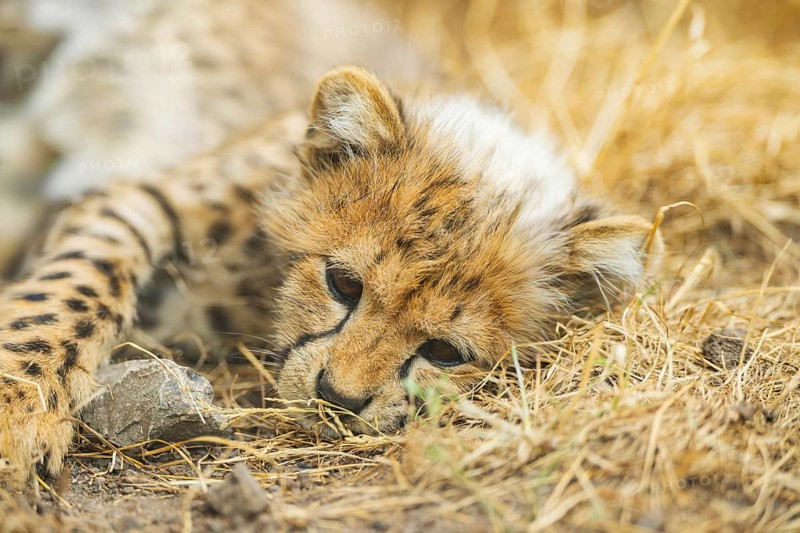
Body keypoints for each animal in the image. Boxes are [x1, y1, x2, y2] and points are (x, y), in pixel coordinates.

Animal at [0, 4, 658, 488]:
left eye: (445, 352)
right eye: (344, 283)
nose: (337, 399)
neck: (261, 288)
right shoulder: (143, 199)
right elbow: (75, 287)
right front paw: (16, 411)